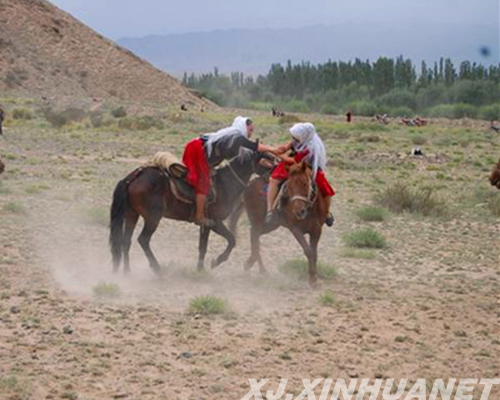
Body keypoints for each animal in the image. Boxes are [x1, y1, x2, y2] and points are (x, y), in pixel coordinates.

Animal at [110, 150, 274, 276]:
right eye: (267, 160)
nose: (273, 175)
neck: (224, 184)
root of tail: (132, 177)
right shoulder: (213, 222)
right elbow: (230, 240)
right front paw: (215, 262)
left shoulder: (205, 224)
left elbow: (203, 247)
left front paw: (200, 268)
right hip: (152, 218)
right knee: (143, 240)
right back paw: (157, 268)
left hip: (132, 215)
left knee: (126, 241)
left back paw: (127, 271)